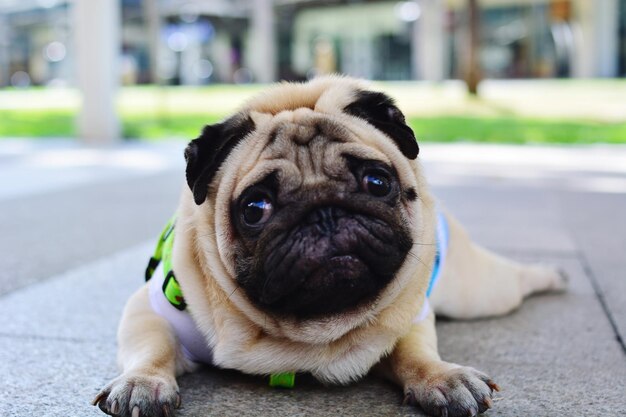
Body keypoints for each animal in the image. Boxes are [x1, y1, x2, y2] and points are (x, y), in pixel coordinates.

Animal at [94, 75, 564, 416]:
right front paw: (142, 382)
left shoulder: (409, 314)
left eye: (377, 182)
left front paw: (441, 378)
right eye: (255, 208)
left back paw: (553, 275)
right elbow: (151, 347)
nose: (324, 213)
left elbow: (414, 350)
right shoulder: (153, 309)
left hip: (478, 293)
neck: (311, 333)